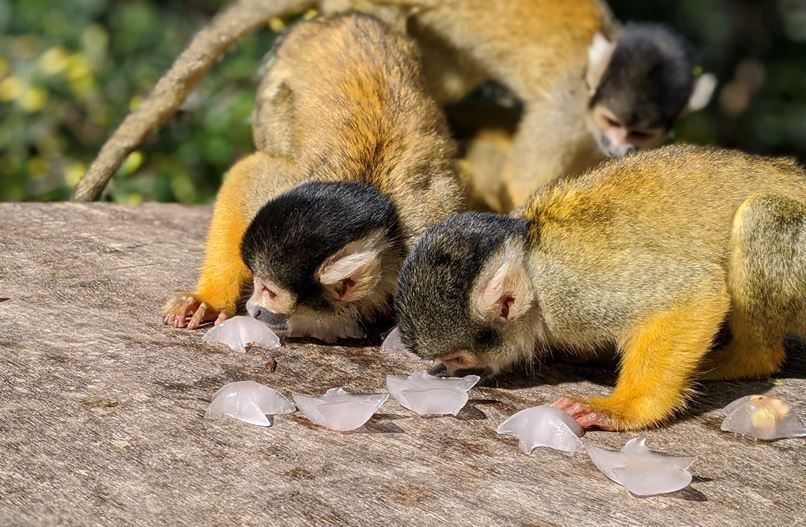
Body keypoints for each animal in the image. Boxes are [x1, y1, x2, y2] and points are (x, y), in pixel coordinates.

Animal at [164, 14, 464, 344]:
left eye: (269, 292)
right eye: (257, 284)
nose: (253, 309)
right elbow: (245, 175)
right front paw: (210, 300)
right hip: (272, 95)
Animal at [394, 143, 804, 428]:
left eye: (458, 359)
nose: (454, 374)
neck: (530, 254)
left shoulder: (568, 293)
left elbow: (695, 292)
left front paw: (621, 410)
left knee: (761, 215)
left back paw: (748, 357)